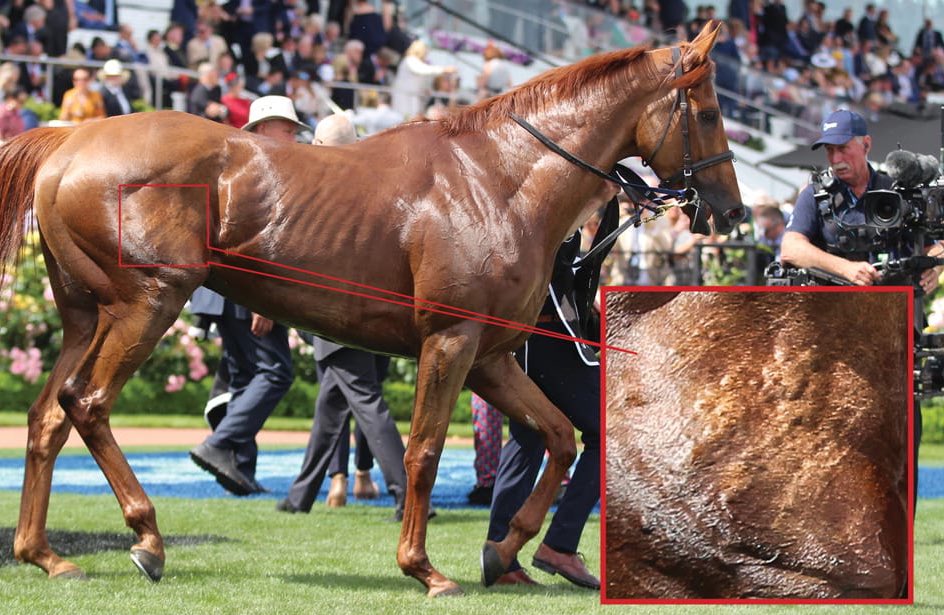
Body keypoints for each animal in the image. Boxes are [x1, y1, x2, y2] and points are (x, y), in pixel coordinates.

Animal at [0, 22, 742, 595]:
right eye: (707, 113)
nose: (732, 211)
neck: (498, 178)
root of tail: (68, 143)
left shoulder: (491, 356)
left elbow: (559, 435)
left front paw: (505, 551)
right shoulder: (451, 340)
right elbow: (423, 451)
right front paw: (424, 568)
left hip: (85, 316)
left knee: (46, 416)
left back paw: (45, 554)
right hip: (150, 302)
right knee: (87, 403)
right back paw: (148, 536)